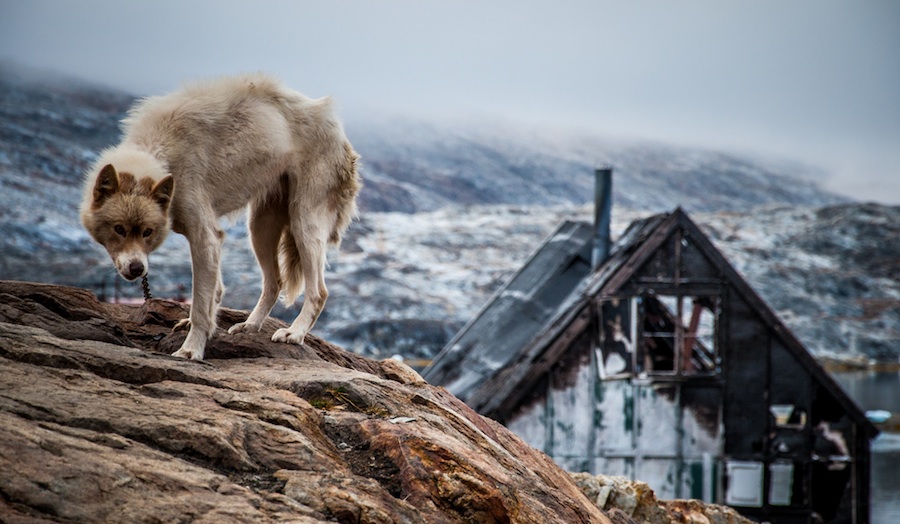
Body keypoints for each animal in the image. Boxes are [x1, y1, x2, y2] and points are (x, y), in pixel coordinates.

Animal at [81, 73, 362, 360]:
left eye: (147, 232)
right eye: (119, 229)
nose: (137, 269)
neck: (163, 157)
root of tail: (338, 129)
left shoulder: (205, 236)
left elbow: (200, 302)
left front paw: (191, 350)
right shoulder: (210, 241)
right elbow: (212, 295)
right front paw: (202, 330)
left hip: (304, 224)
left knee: (319, 292)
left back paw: (294, 333)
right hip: (259, 228)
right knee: (275, 283)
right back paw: (250, 326)